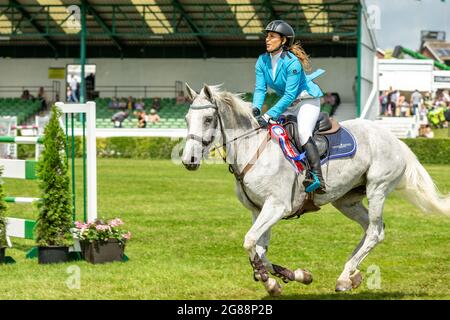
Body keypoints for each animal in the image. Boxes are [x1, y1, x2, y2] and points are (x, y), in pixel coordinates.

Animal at [180, 84, 450, 296]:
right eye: (186, 120)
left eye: (208, 120)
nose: (188, 160)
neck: (253, 149)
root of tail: (396, 140)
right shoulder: (258, 211)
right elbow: (259, 249)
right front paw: (295, 276)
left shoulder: (276, 207)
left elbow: (250, 243)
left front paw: (270, 283)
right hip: (346, 200)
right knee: (372, 229)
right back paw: (349, 275)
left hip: (378, 189)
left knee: (375, 232)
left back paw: (346, 276)